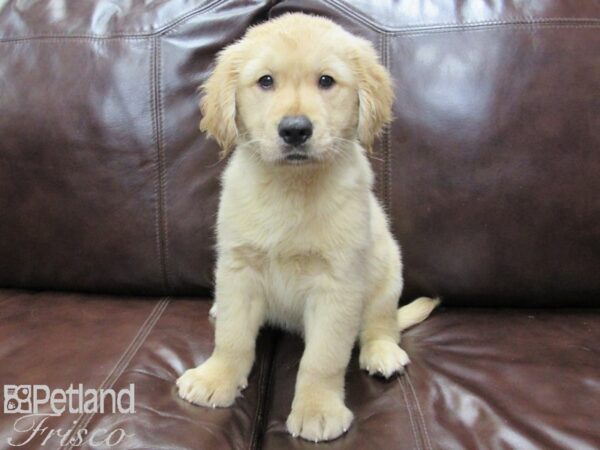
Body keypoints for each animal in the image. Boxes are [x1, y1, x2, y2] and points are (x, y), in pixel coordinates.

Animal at [176, 13, 438, 442]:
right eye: (266, 81)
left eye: (326, 81)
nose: (295, 129)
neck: (291, 187)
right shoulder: (239, 270)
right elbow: (232, 338)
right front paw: (216, 378)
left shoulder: (337, 286)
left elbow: (323, 359)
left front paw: (318, 409)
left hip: (388, 270)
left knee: (381, 323)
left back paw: (382, 351)